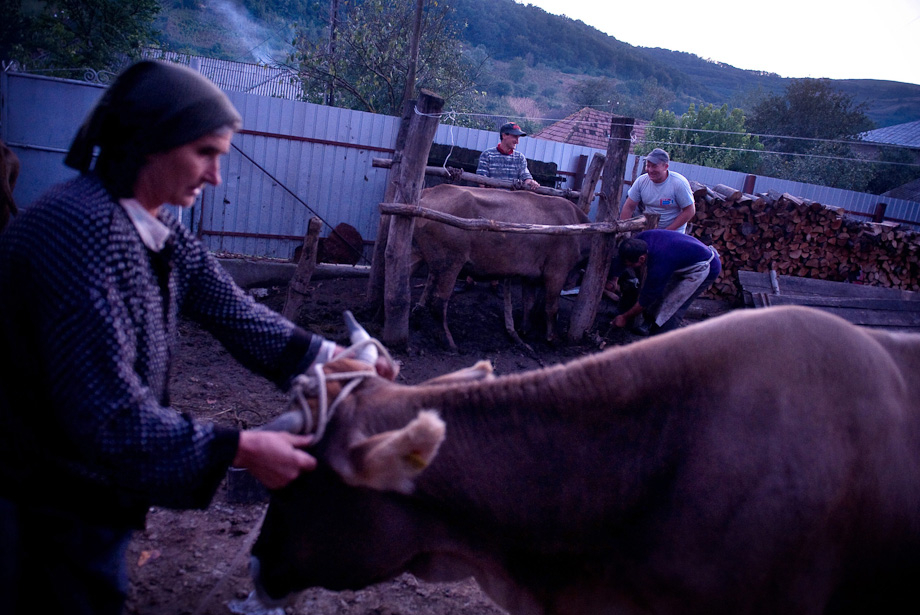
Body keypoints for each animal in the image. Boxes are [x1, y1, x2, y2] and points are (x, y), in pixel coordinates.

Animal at [412, 183, 588, 348]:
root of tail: (430, 191)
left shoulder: (530, 275)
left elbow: (529, 302)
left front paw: (525, 330)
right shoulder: (557, 271)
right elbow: (552, 307)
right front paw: (553, 338)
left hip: (418, 253)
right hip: (450, 261)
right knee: (438, 303)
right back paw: (449, 342)